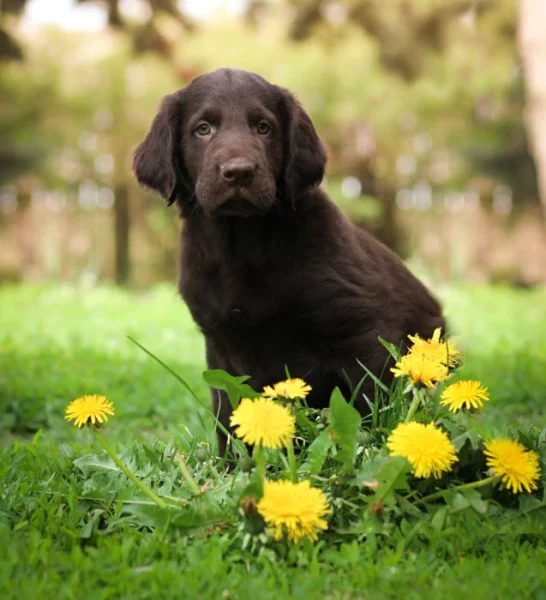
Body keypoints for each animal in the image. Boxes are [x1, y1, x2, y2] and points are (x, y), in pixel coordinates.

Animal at [134, 68, 444, 454]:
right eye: (203, 128)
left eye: (263, 127)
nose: (239, 172)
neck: (243, 245)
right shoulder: (219, 347)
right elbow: (227, 415)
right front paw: (230, 465)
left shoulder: (366, 333)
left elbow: (373, 408)